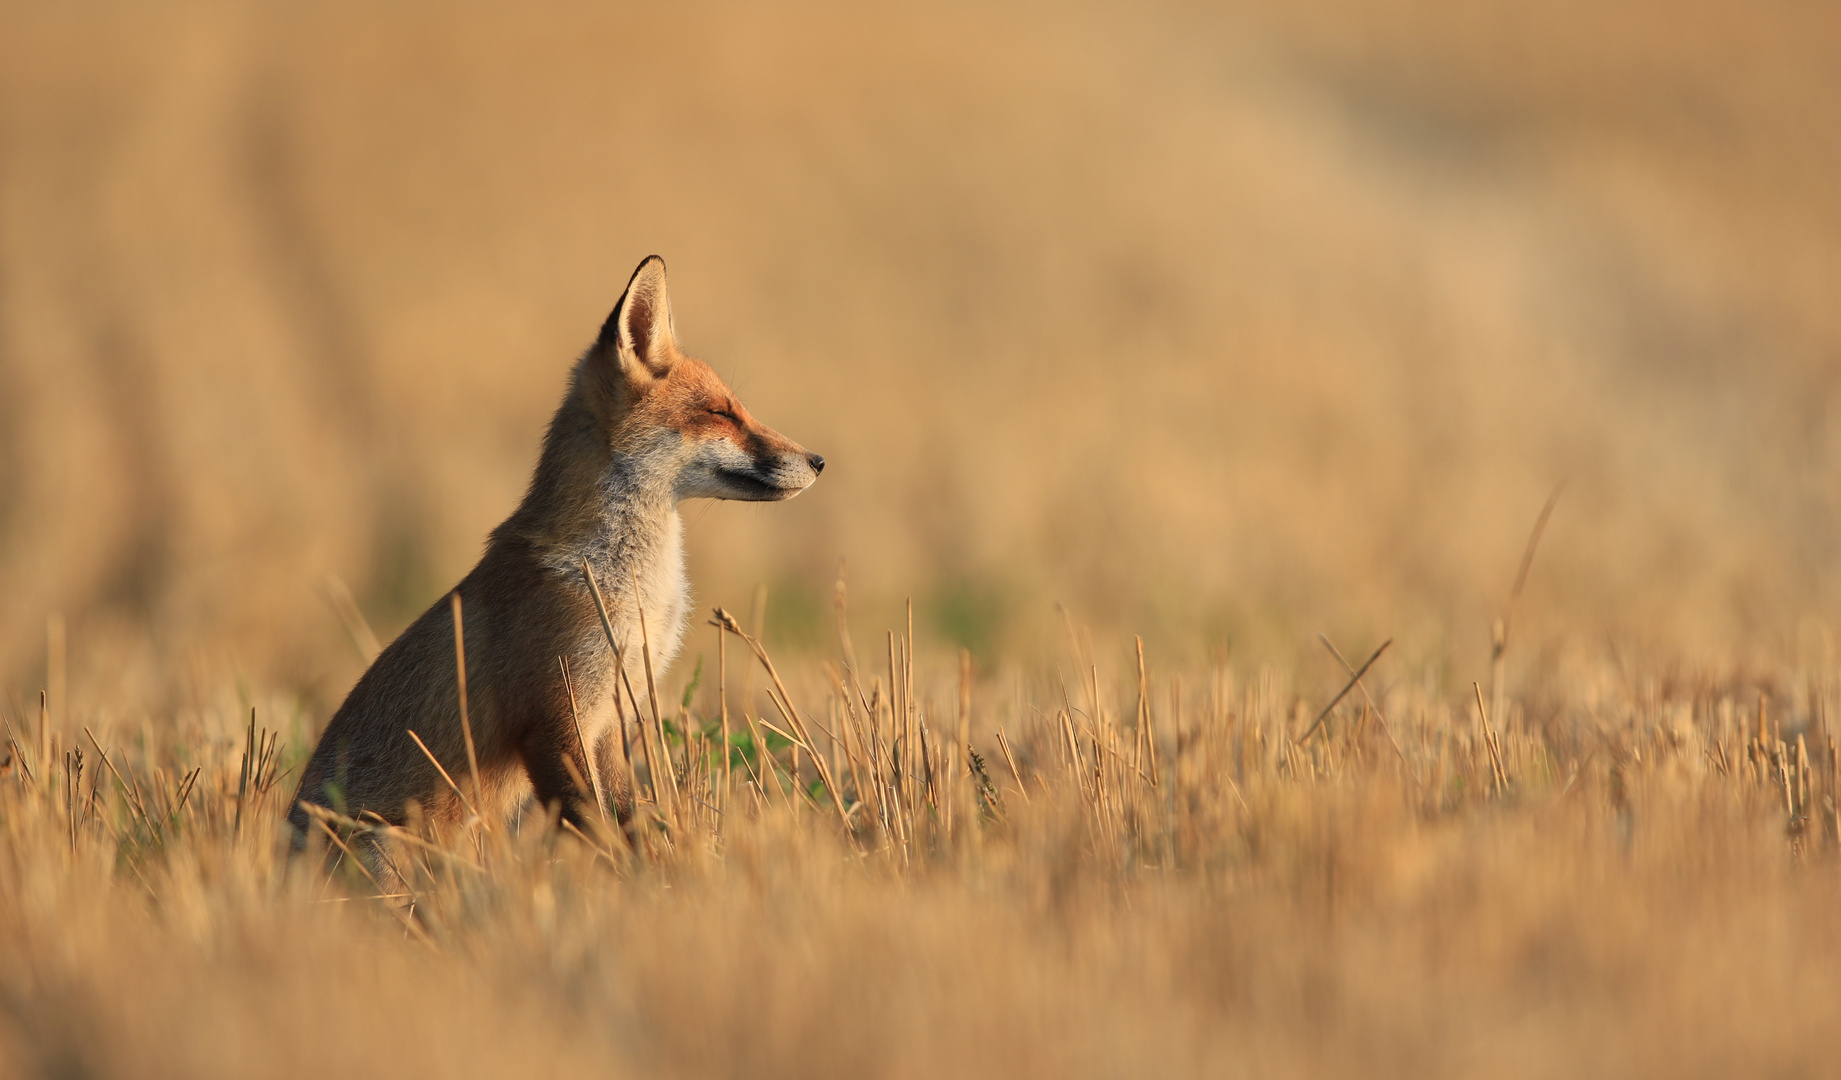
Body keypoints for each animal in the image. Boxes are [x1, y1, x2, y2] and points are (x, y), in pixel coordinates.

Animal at [285, 257, 821, 857]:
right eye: (721, 413)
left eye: (736, 408)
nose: (818, 460)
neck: (626, 586)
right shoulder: (553, 719)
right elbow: (595, 828)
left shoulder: (611, 717)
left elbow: (626, 819)